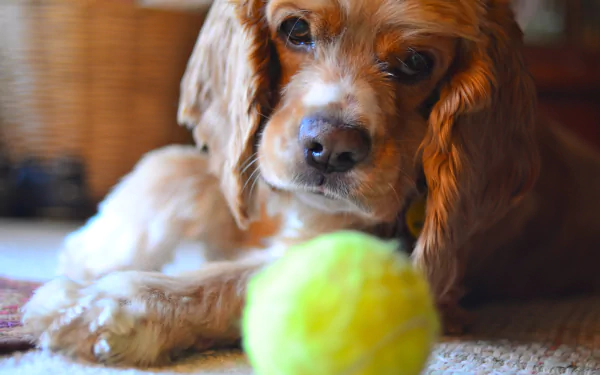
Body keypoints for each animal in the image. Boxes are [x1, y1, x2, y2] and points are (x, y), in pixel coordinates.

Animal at [18, 0, 600, 366]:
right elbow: (178, 163)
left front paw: (101, 306)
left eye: (416, 62)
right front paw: (93, 250)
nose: (331, 147)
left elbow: (247, 277)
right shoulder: (258, 168)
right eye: (296, 30)